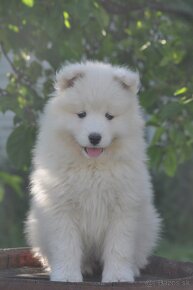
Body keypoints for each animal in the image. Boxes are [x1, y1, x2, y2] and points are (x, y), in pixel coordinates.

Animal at [25, 61, 160, 284]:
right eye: (81, 114)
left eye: (109, 116)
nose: (95, 137)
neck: (92, 167)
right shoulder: (61, 207)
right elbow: (66, 245)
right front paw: (67, 276)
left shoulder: (123, 207)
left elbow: (119, 246)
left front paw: (118, 276)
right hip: (36, 227)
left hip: (148, 223)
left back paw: (132, 269)